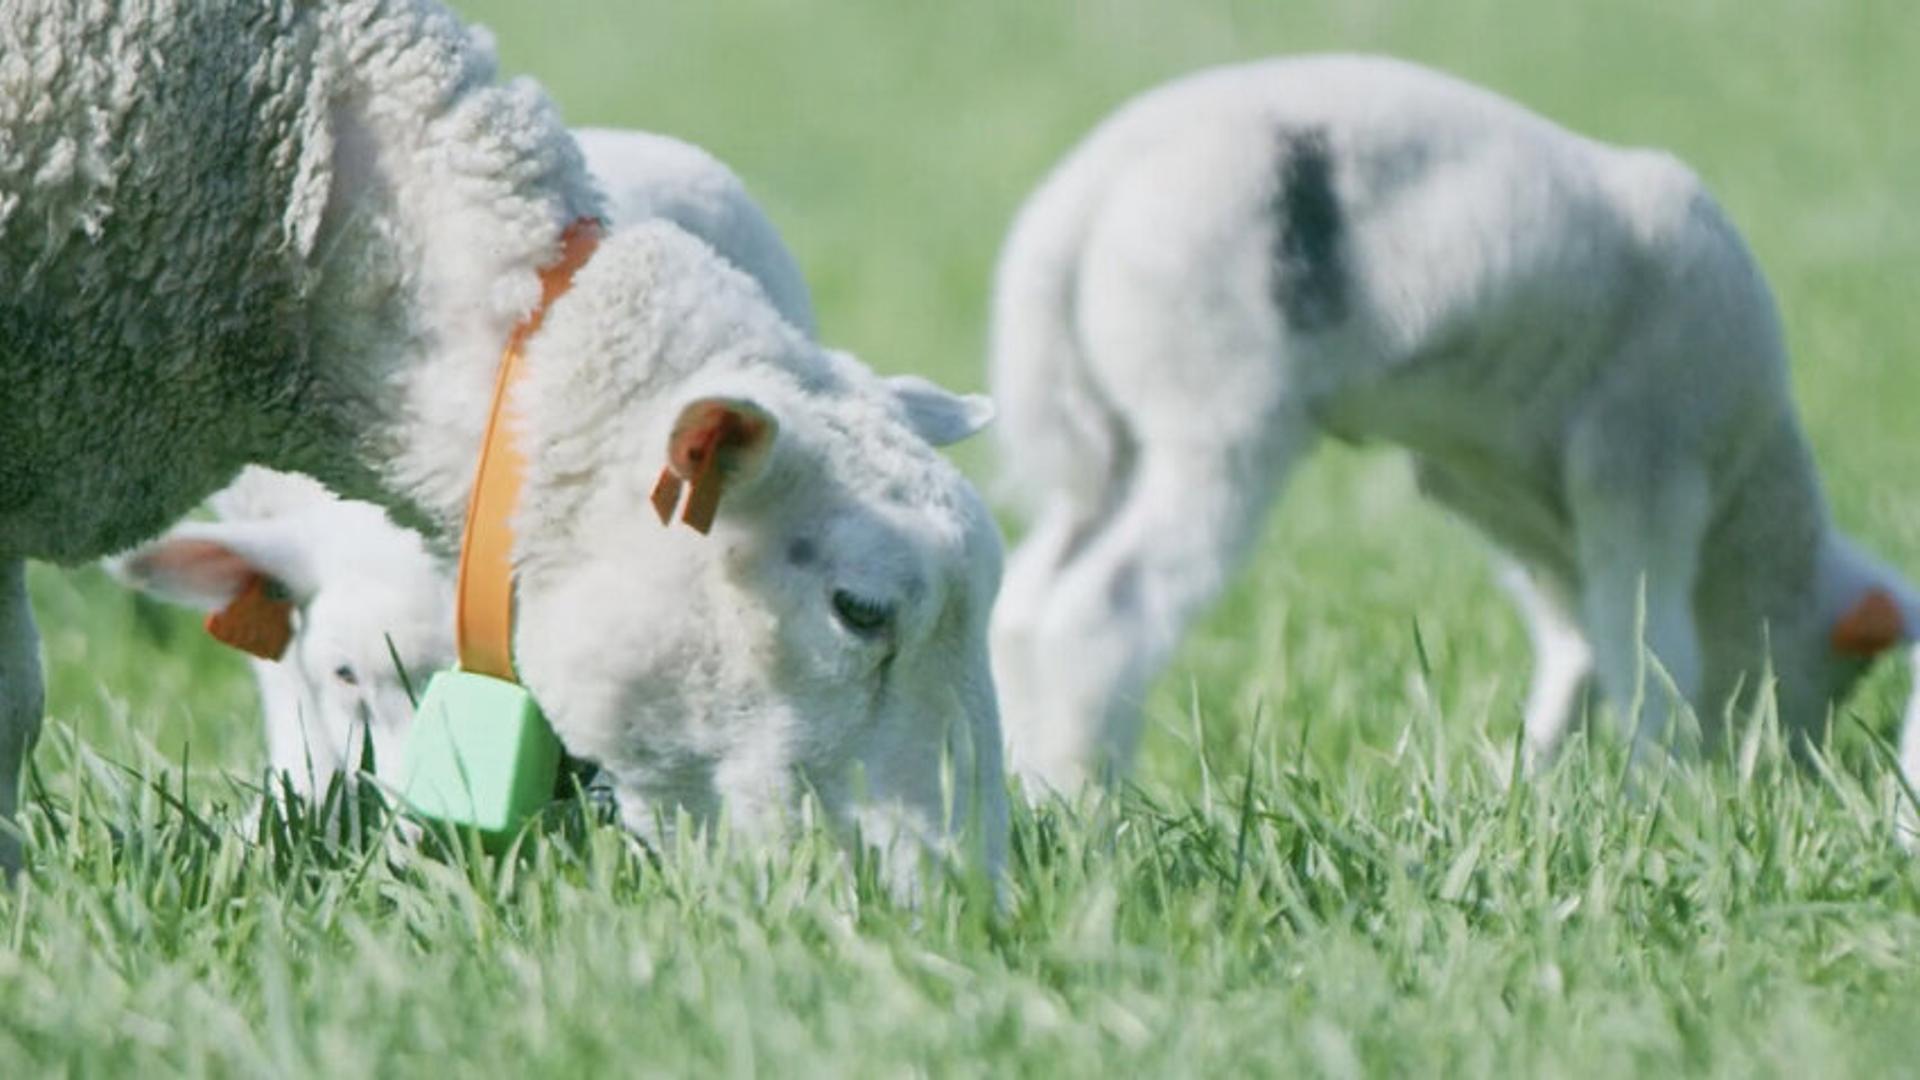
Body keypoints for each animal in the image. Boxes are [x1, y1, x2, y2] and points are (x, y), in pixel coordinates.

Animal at [990, 56, 1920, 799]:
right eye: (1845, 671)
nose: (1790, 775)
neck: (1748, 504)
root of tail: (1076, 206)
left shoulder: (1512, 499)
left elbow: (1578, 647)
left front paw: (1540, 784)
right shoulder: (1643, 464)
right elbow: (1648, 647)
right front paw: (1665, 788)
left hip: (1105, 444)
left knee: (1024, 603)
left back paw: (1032, 793)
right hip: (1217, 415)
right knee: (1101, 610)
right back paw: (1089, 801)